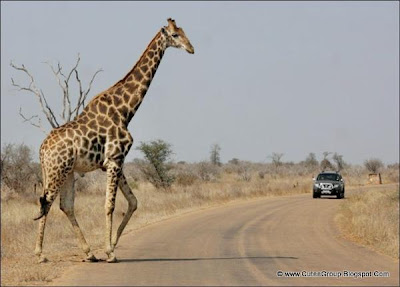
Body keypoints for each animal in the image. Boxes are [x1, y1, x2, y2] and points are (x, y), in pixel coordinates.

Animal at [35, 18, 195, 264]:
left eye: (183, 32)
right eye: (175, 35)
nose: (191, 48)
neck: (125, 110)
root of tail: (42, 150)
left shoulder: (112, 162)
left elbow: (133, 201)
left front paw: (112, 245)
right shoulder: (115, 159)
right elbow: (109, 205)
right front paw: (110, 251)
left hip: (66, 171)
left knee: (65, 205)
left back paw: (89, 253)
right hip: (57, 170)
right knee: (46, 201)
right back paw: (40, 254)